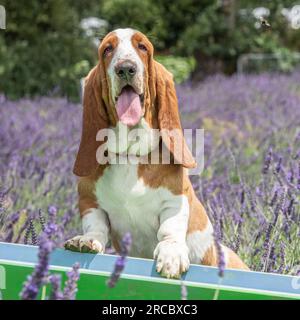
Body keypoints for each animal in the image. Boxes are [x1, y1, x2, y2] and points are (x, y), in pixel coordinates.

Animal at [63, 28, 248, 278]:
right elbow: (96, 225)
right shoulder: (89, 201)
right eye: (107, 49)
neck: (130, 156)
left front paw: (172, 255)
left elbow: (169, 230)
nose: (125, 68)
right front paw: (87, 241)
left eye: (142, 47)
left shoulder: (176, 201)